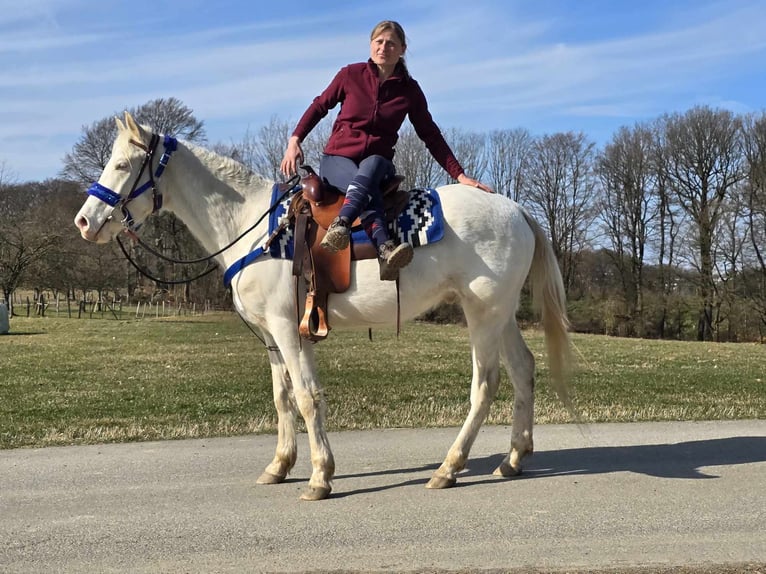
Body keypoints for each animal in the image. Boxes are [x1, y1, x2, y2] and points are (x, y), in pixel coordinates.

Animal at [73, 111, 576, 500]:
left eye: (122, 164)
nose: (84, 222)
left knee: (486, 386)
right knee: (523, 370)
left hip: (483, 315)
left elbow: (307, 397)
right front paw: (280, 465)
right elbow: (283, 398)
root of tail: (514, 209)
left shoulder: (285, 328)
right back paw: (513, 459)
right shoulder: (277, 335)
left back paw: (449, 468)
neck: (255, 227)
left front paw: (319, 475)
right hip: (501, 315)